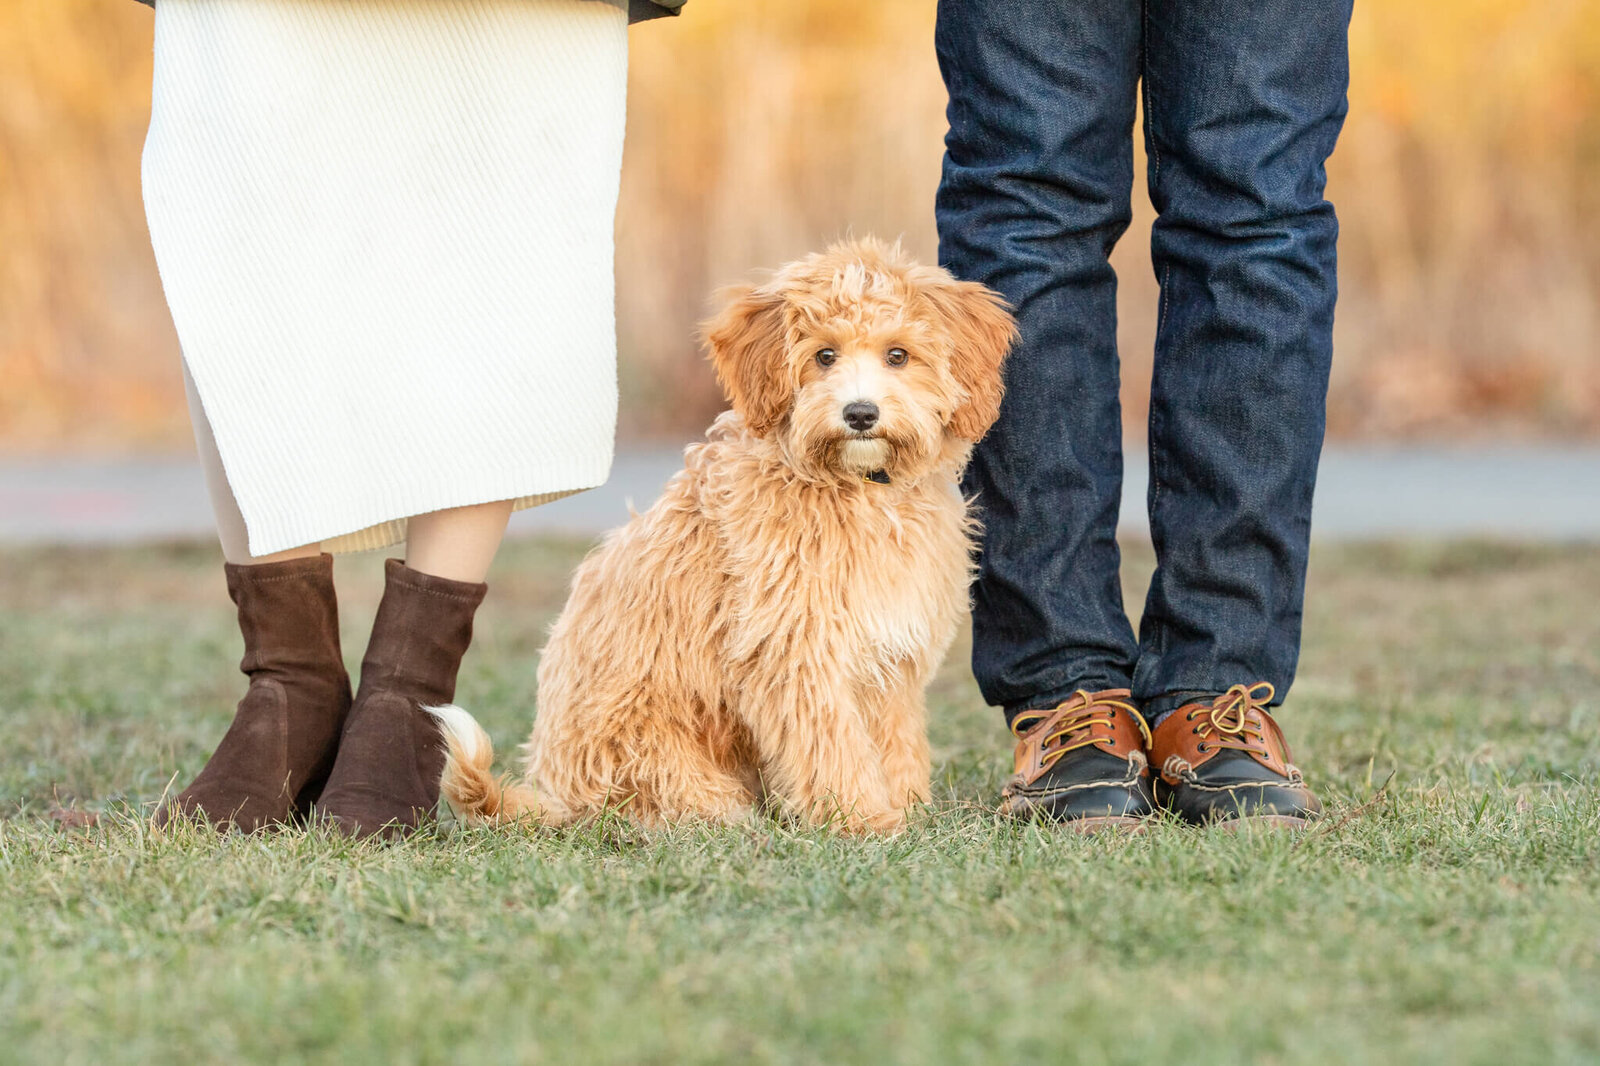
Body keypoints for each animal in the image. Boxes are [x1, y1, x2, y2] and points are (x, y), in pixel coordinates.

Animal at [428, 238, 1011, 832]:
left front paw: (906, 809)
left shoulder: (890, 657)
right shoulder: (796, 648)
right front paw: (861, 817)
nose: (860, 413)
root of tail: (559, 795)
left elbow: (895, 740)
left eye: (898, 355)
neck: (856, 488)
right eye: (824, 356)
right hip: (661, 761)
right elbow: (831, 743)